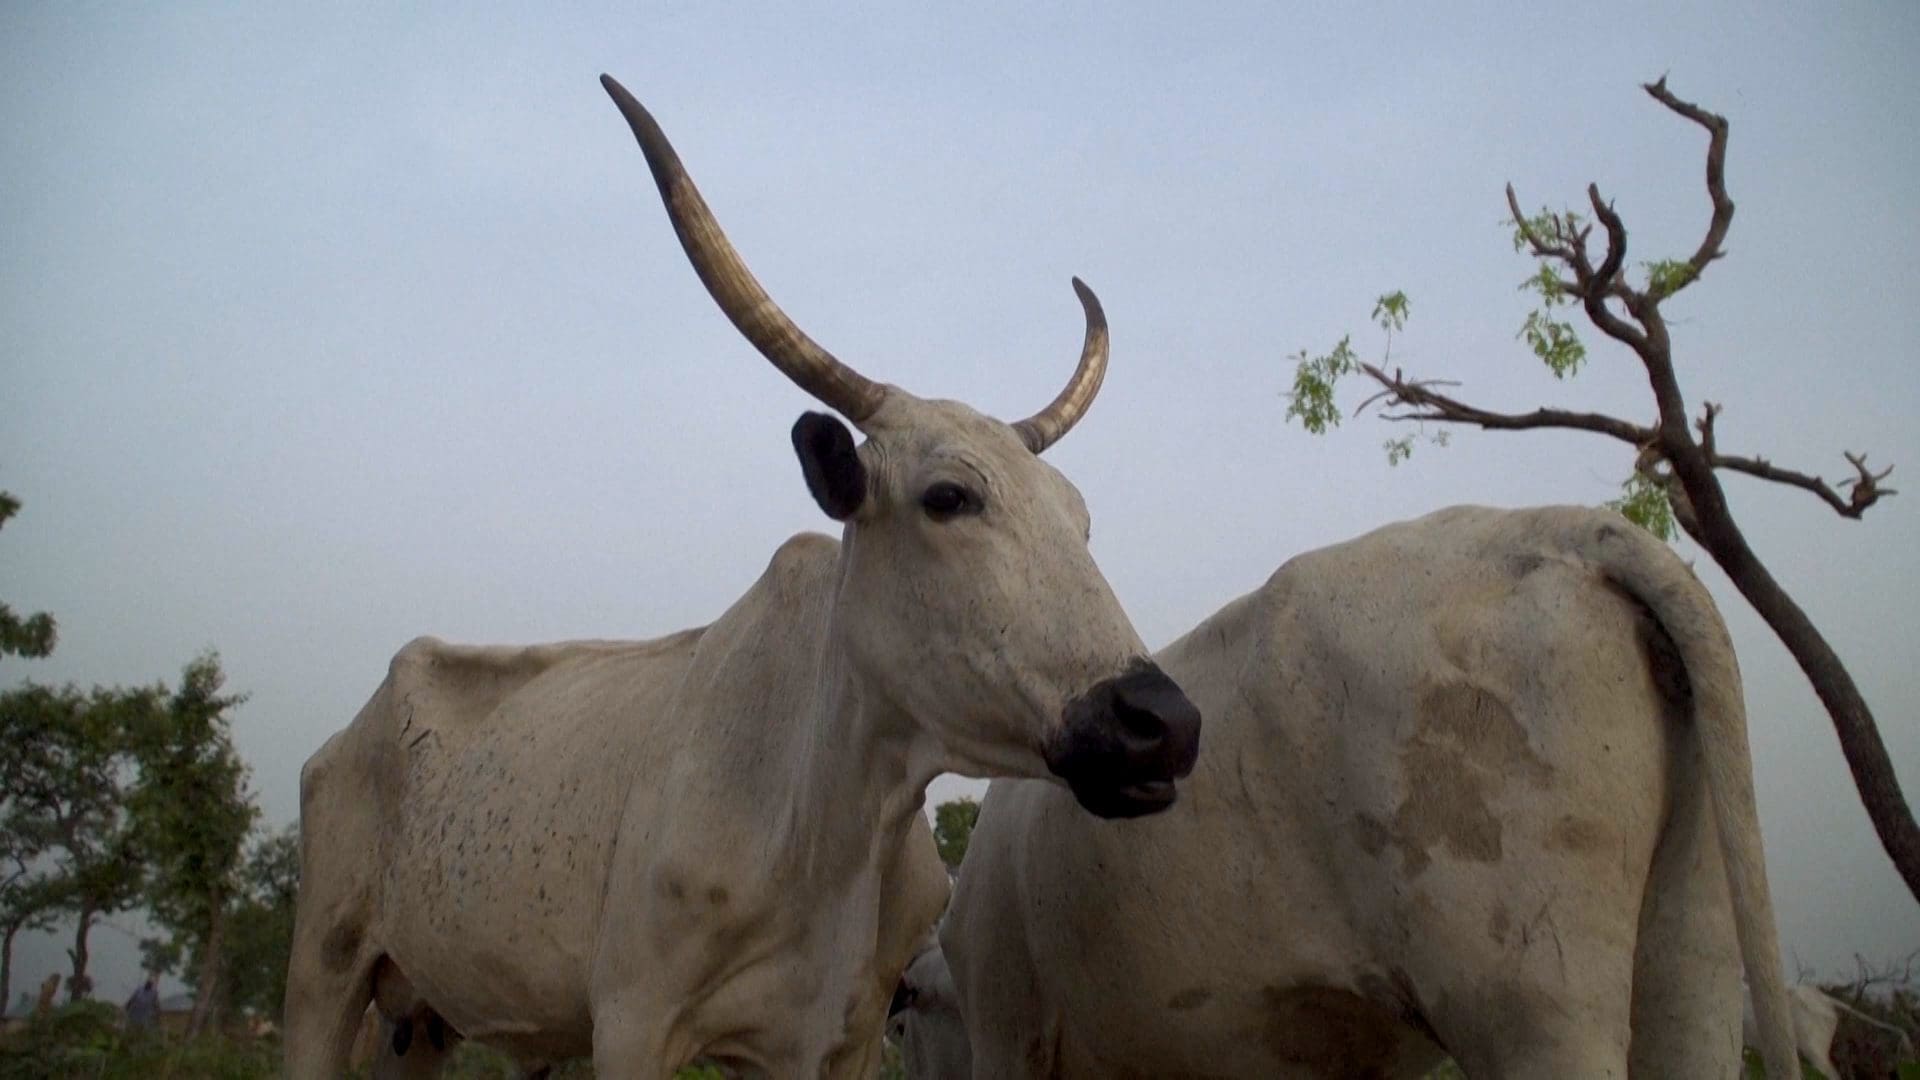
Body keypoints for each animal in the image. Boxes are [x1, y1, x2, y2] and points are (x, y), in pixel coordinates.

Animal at [283, 74, 1201, 1079]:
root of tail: (354, 728)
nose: (1163, 723)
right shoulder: (633, 1019)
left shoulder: (837, 1041)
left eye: (1081, 519)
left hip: (420, 1018)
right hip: (324, 971)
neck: (828, 823)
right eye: (949, 495)